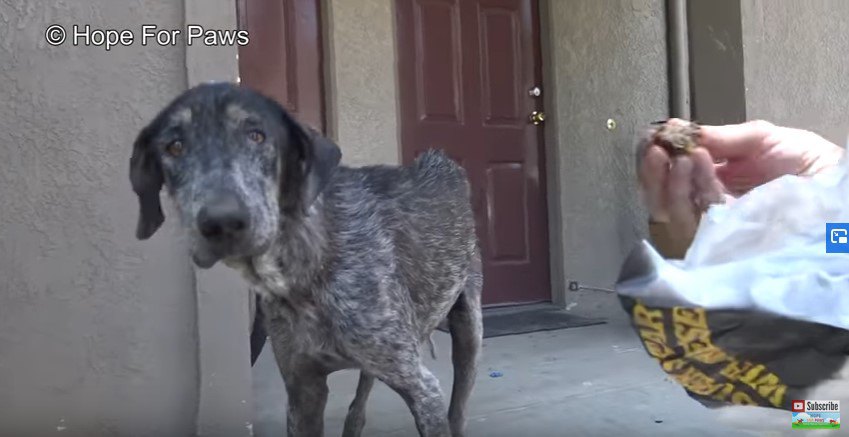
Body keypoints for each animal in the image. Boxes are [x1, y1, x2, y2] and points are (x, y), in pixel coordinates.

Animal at [128, 82, 480, 436]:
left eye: (257, 135)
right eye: (174, 147)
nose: (221, 221)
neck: (304, 270)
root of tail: (440, 162)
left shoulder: (423, 389)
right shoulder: (303, 390)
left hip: (467, 330)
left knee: (458, 408)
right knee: (361, 397)